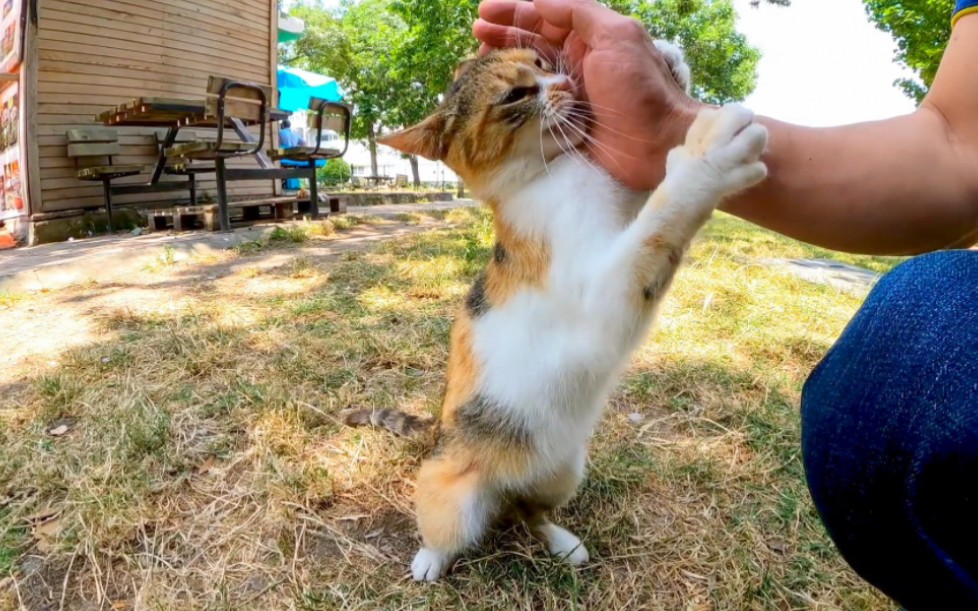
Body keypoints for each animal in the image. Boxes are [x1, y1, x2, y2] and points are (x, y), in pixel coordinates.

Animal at [346, 44, 768, 584]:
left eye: (540, 63)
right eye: (515, 95)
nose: (567, 82)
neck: (553, 173)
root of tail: (439, 432)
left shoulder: (621, 203)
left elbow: (644, 204)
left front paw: (670, 67)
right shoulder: (600, 299)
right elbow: (658, 223)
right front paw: (710, 158)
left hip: (565, 469)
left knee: (526, 510)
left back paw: (561, 542)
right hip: (453, 496)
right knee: (456, 526)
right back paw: (430, 560)